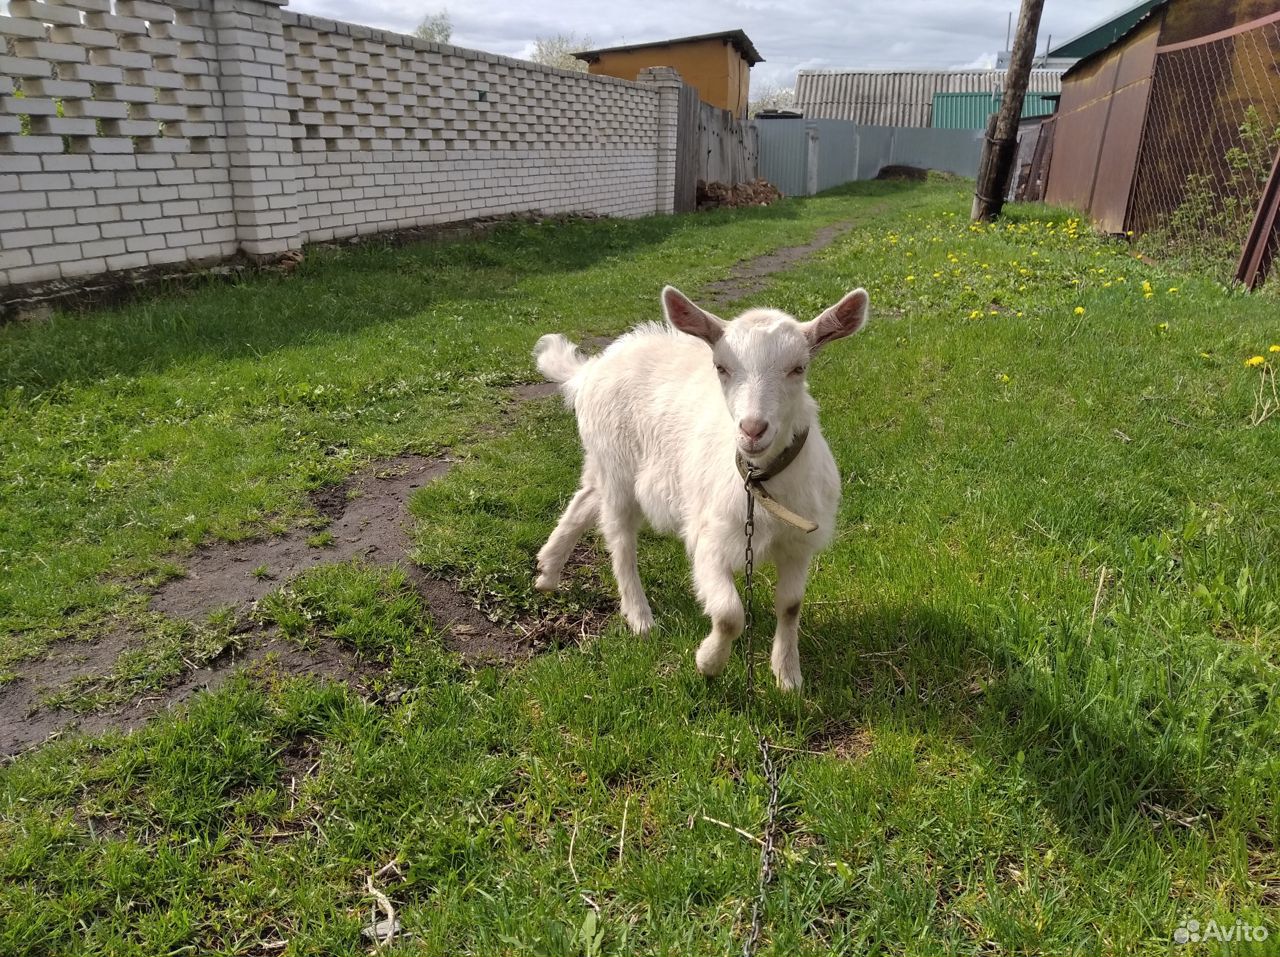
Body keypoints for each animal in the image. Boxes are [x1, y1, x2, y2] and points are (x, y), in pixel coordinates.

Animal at [529, 284, 870, 685]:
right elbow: (729, 614)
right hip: (618, 468)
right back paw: (640, 617)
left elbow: (790, 606)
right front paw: (708, 662)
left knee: (586, 497)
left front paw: (788, 676)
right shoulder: (710, 540)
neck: (760, 485)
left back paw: (548, 571)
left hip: (601, 460)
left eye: (798, 368)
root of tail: (591, 369)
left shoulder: (797, 544)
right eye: (721, 367)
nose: (752, 430)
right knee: (619, 539)